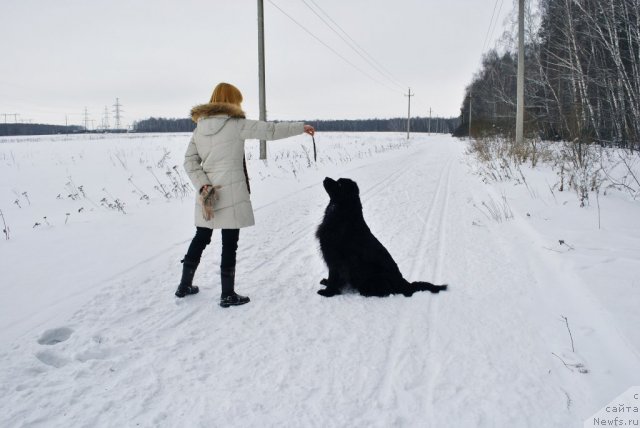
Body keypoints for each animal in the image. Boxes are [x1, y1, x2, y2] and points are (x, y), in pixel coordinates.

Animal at [316, 177, 448, 298]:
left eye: (339, 183)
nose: (326, 178)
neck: (342, 213)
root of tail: (404, 283)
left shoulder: (335, 258)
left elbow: (333, 277)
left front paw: (327, 292)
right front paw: (326, 283)